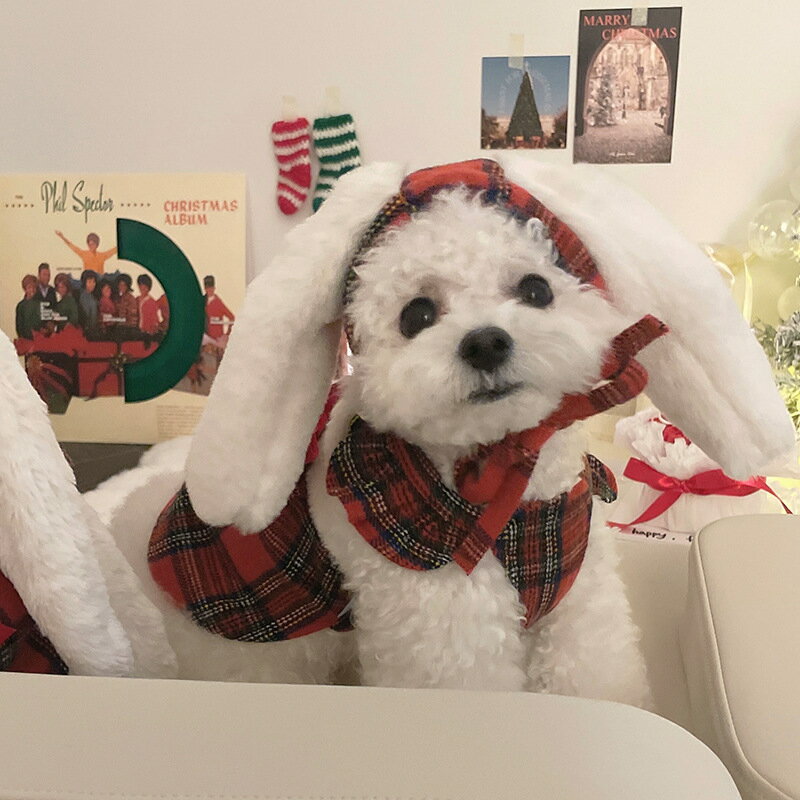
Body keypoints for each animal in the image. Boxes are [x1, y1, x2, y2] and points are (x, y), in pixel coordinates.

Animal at [84, 153, 792, 704]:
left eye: (536, 289)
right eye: (416, 314)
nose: (485, 342)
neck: (511, 478)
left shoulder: (579, 604)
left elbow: (594, 673)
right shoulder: (443, 619)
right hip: (265, 658)